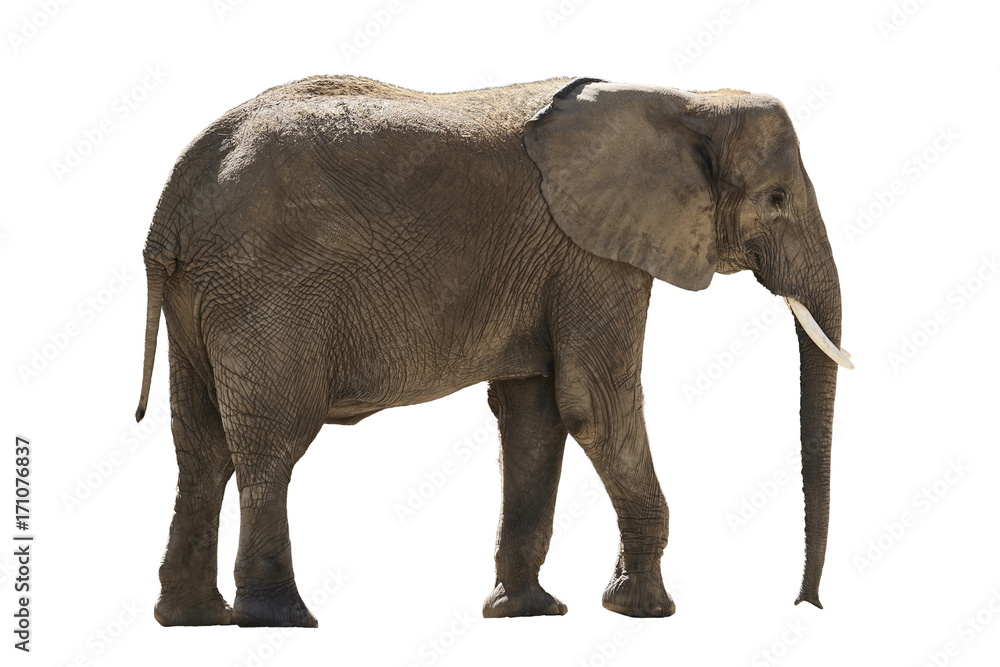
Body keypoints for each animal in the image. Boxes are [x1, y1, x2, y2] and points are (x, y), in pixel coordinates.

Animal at [136, 75, 852, 628]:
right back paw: (280, 619)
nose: (805, 604)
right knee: (270, 445)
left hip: (202, 294)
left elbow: (536, 415)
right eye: (776, 200)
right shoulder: (592, 254)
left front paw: (526, 612)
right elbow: (594, 405)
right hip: (264, 288)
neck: (686, 101)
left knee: (200, 448)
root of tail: (175, 194)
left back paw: (194, 620)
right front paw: (646, 610)